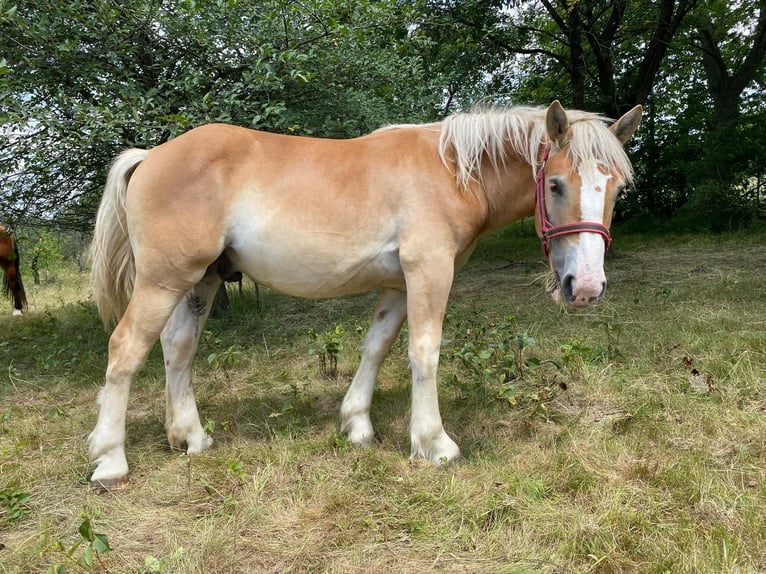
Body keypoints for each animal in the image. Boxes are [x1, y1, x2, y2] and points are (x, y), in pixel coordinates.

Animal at [88, 101, 640, 488]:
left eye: (617, 189)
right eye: (556, 184)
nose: (586, 288)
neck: (453, 171)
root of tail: (151, 155)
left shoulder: (397, 283)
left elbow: (376, 348)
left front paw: (357, 426)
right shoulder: (428, 271)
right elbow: (424, 353)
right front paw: (433, 443)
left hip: (199, 281)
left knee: (177, 349)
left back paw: (190, 436)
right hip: (163, 281)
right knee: (125, 350)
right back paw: (110, 460)